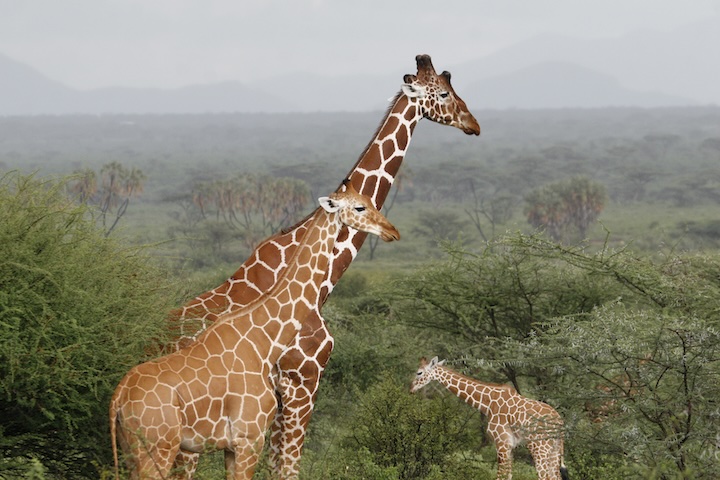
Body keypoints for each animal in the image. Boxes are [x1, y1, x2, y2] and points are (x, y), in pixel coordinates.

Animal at [109, 183, 400, 480]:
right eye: (360, 207)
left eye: (369, 201)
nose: (392, 231)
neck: (264, 341)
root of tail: (118, 398)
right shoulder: (249, 437)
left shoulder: (233, 445)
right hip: (159, 448)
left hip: (133, 450)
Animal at [167, 54, 480, 478]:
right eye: (445, 93)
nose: (473, 123)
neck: (323, 278)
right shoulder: (303, 380)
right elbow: (288, 467)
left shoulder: (282, 394)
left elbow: (277, 466)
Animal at [410, 357, 569, 480]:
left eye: (419, 372)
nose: (411, 389)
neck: (487, 403)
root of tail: (560, 422)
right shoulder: (510, 446)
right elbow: (508, 476)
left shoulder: (502, 443)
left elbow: (500, 476)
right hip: (554, 450)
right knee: (555, 476)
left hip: (539, 448)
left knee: (545, 476)